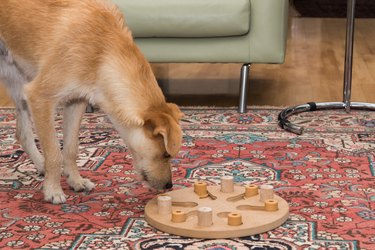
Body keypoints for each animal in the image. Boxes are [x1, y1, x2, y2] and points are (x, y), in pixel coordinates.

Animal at [0, 0, 184, 203]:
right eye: (165, 154)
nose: (169, 185)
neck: (102, 52)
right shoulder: (40, 98)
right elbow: (54, 152)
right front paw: (53, 190)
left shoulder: (75, 101)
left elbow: (71, 148)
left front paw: (75, 180)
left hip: (18, 82)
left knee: (22, 134)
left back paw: (41, 165)